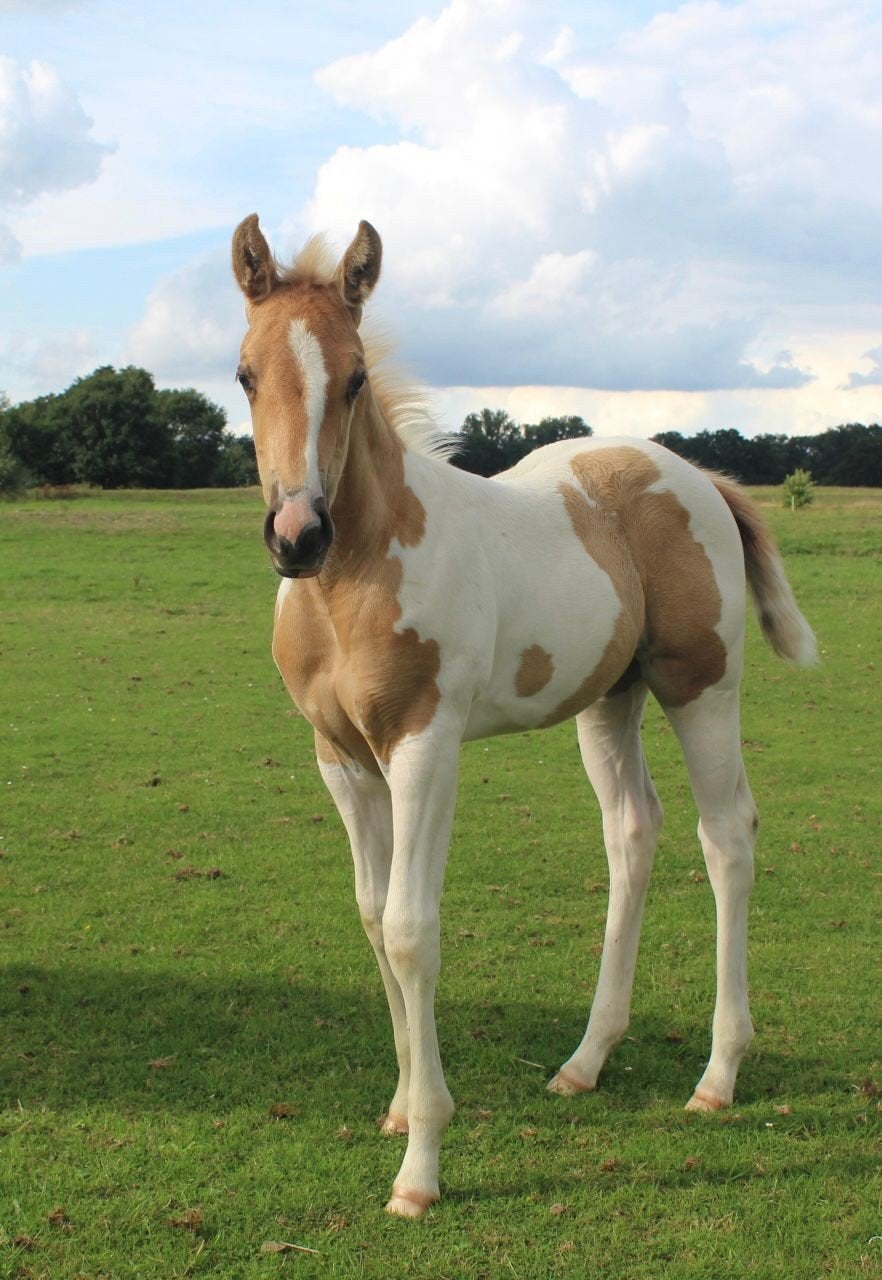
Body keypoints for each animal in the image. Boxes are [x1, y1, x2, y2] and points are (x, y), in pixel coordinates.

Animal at [231, 214, 816, 1217]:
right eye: (243, 374)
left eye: (354, 377)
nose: (298, 535)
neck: (357, 578)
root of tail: (699, 475)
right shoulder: (341, 758)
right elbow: (370, 915)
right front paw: (399, 1107)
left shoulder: (425, 746)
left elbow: (411, 928)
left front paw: (421, 1164)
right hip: (608, 700)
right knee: (634, 832)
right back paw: (586, 1061)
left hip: (701, 685)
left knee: (726, 837)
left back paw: (718, 1075)